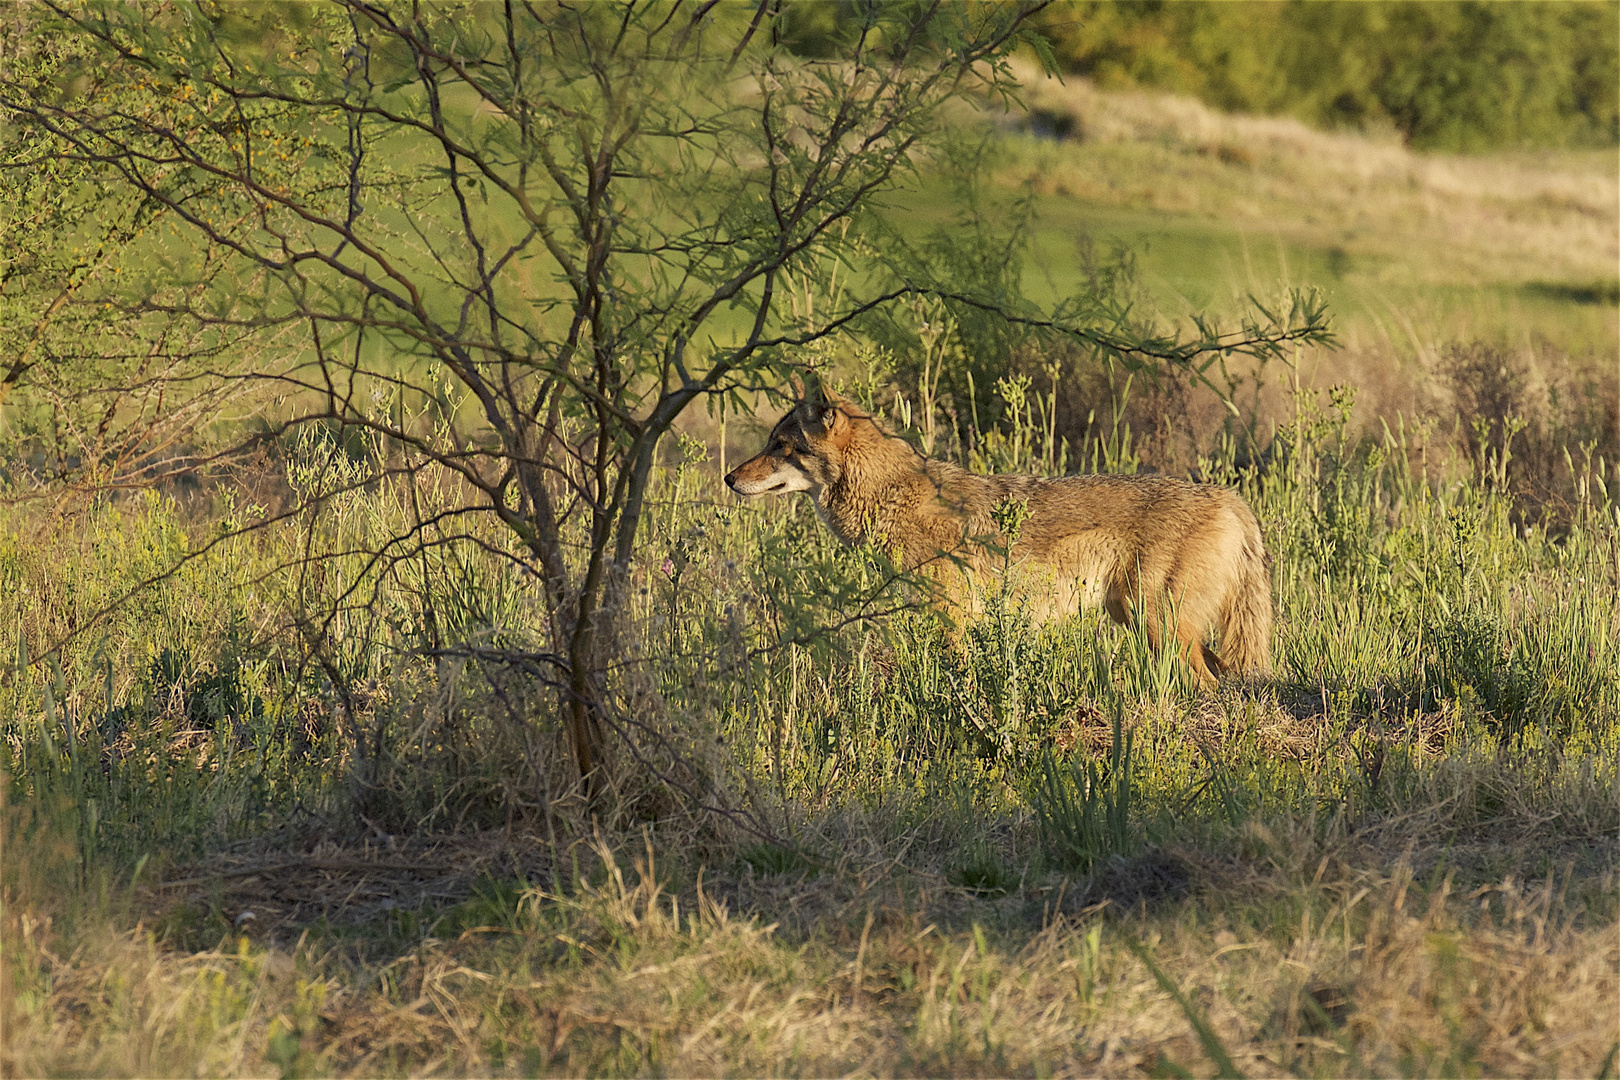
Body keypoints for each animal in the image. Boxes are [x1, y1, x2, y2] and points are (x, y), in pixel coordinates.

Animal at [729, 383, 1270, 689]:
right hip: (1145, 623)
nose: (729, 478)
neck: (894, 496)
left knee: (1208, 683)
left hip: (1156, 625)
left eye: (780, 446)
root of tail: (1230, 498)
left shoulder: (952, 616)